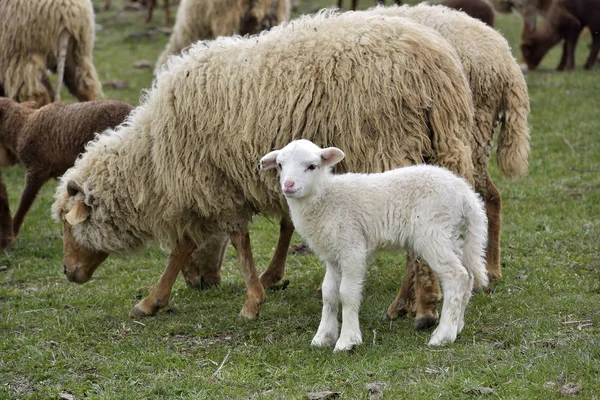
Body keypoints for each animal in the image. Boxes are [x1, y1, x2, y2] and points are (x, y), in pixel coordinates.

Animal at [52, 10, 474, 320]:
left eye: (70, 225)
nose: (68, 273)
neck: (153, 156)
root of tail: (435, 67)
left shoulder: (211, 181)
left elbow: (229, 241)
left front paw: (250, 302)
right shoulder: (213, 185)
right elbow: (193, 244)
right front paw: (156, 299)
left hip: (390, 151)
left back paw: (416, 307)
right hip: (446, 146)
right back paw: (423, 299)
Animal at [260, 138, 490, 350]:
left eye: (311, 166)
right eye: (280, 165)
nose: (288, 185)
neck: (325, 197)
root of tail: (466, 194)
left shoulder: (352, 247)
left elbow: (347, 294)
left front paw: (347, 341)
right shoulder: (333, 255)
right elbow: (329, 294)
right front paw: (323, 337)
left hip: (433, 231)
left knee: (456, 276)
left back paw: (443, 335)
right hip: (450, 234)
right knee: (468, 276)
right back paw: (457, 326)